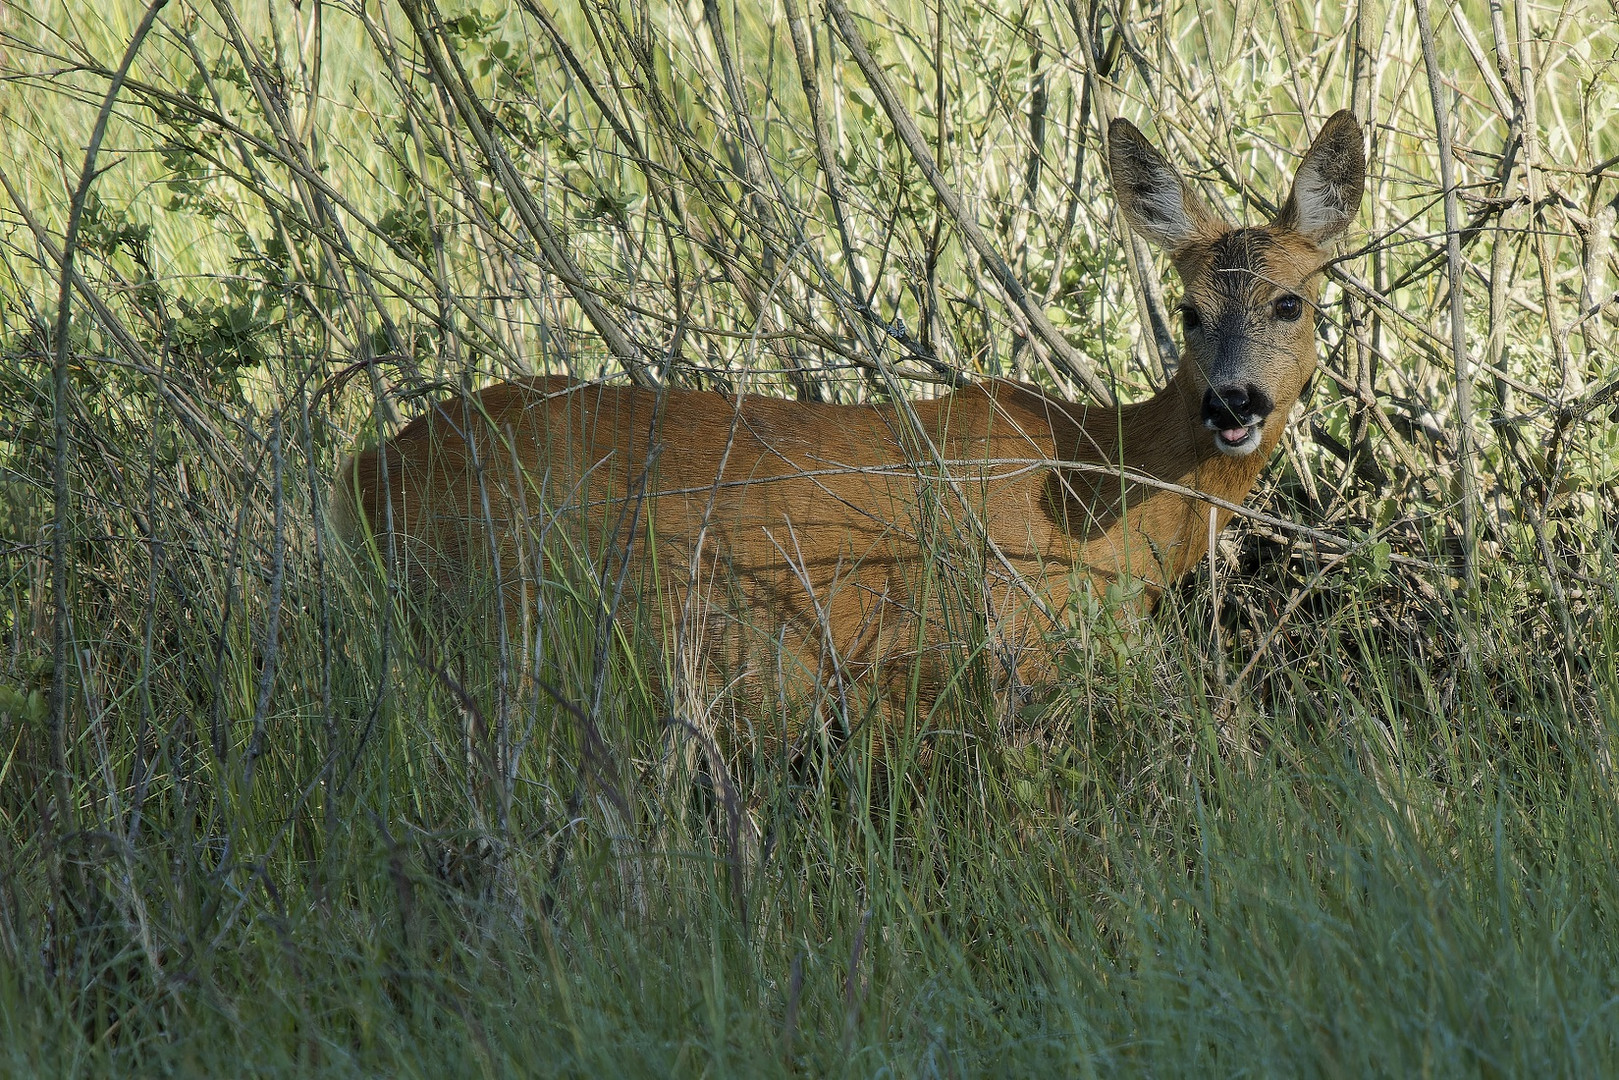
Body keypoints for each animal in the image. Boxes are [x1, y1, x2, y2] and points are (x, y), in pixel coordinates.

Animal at [331, 110, 1366, 735]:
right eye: (1186, 310)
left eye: (1290, 301)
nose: (1231, 402)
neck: (1107, 491)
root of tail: (361, 472)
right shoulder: (998, 656)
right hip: (494, 621)